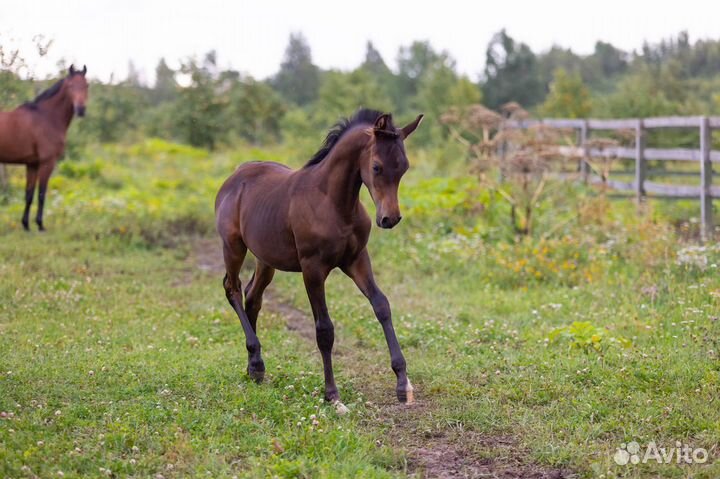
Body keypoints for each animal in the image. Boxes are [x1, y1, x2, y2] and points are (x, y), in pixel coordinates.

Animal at [0, 65, 89, 231]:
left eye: (87, 85)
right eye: (70, 86)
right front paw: (40, 225)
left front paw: (26, 225)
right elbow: (41, 194)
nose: (81, 110)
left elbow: (29, 194)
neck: (46, 117)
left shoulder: (32, 164)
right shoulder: (48, 163)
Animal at [217, 109, 424, 408]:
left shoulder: (357, 259)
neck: (334, 203)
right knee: (232, 288)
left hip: (266, 258)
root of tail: (235, 176)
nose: (390, 219)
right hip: (233, 247)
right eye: (376, 167)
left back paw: (254, 366)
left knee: (253, 297)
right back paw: (255, 360)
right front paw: (332, 395)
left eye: (404, 167)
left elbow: (382, 306)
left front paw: (403, 384)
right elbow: (324, 329)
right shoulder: (312, 269)